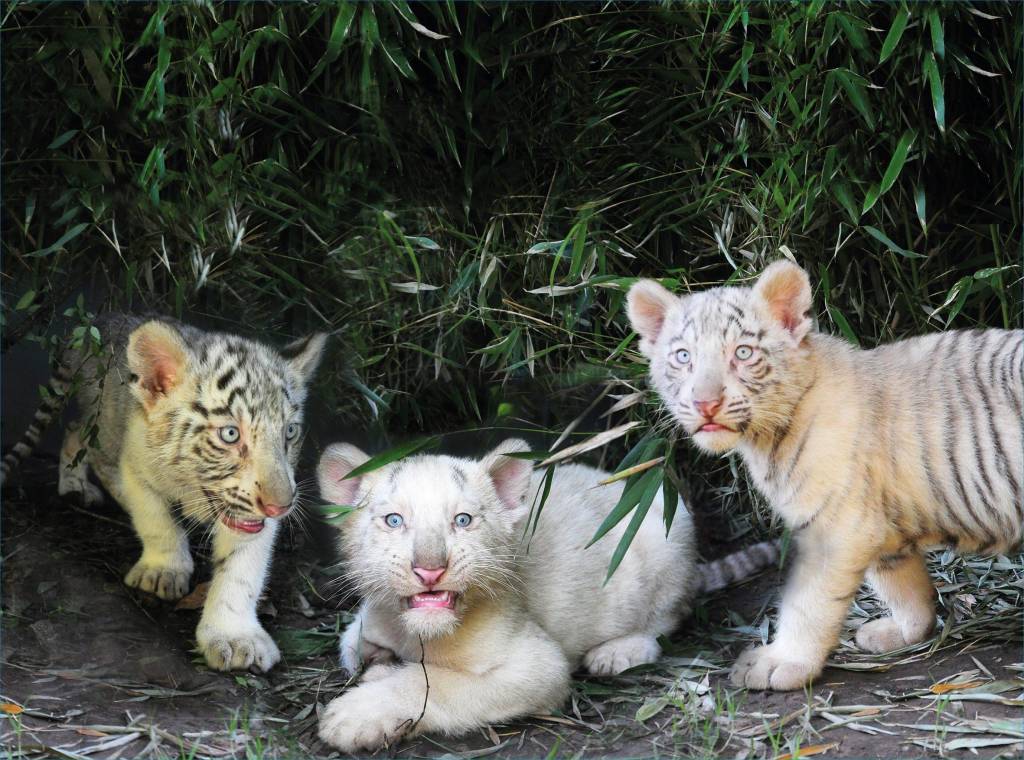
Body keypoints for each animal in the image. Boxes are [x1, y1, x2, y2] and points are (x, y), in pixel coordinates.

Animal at [1, 314, 326, 672]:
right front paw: (163, 571)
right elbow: (157, 522)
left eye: (290, 432)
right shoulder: (137, 464)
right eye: (230, 434)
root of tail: (105, 319)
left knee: (76, 429)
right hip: (107, 423)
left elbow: (241, 569)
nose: (279, 506)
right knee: (87, 441)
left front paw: (234, 637)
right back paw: (76, 486)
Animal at [627, 260, 1023, 691]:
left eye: (743, 353)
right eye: (683, 357)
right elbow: (901, 585)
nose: (705, 403)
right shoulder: (883, 526)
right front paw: (904, 632)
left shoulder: (836, 528)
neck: (766, 437)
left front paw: (779, 663)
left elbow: (808, 602)